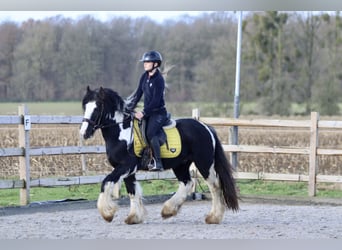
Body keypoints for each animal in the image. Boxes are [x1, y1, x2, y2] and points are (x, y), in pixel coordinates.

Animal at [79, 86, 240, 225]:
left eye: (97, 107)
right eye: (85, 106)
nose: (84, 133)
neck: (121, 132)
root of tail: (206, 127)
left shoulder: (125, 166)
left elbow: (106, 182)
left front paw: (107, 213)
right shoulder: (129, 170)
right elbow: (132, 191)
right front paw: (134, 217)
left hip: (204, 163)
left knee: (215, 186)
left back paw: (214, 217)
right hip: (181, 165)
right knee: (187, 183)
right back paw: (168, 210)